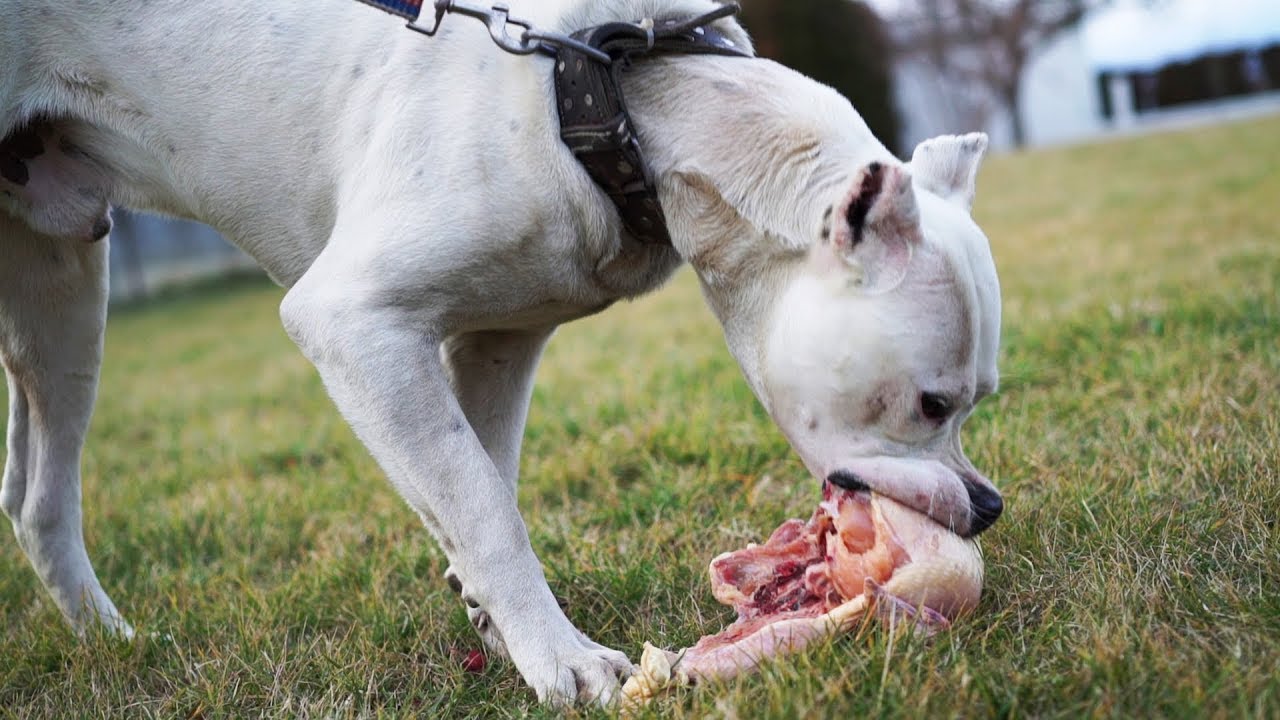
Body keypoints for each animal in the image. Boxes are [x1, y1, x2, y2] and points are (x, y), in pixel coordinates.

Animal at [0, 0, 998, 707]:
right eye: (932, 403)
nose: (987, 507)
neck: (615, 97)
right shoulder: (354, 324)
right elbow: (481, 502)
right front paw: (562, 659)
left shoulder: (499, 341)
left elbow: (483, 475)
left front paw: (493, 615)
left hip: (59, 288)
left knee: (36, 498)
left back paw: (108, 645)